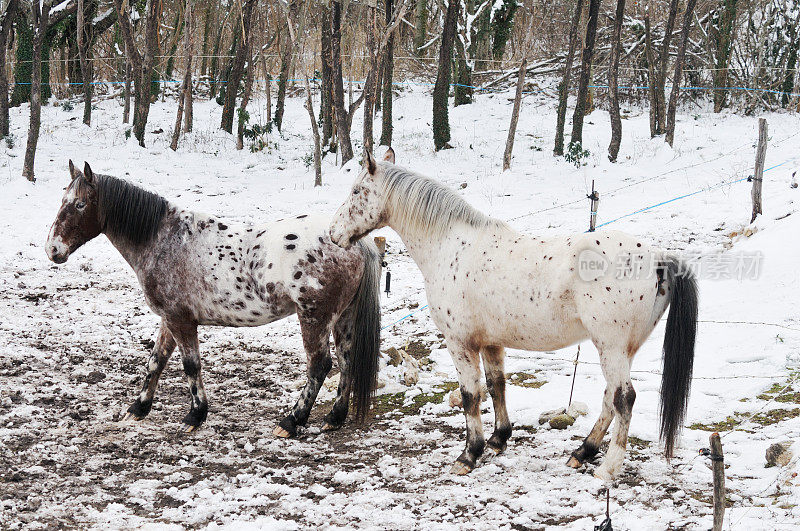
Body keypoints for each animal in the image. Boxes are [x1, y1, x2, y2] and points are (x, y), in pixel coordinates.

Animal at [48, 161, 382, 436]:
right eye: (62, 201)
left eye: (79, 204)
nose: (53, 249)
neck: (164, 239)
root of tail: (354, 243)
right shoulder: (170, 319)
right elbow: (156, 361)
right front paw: (138, 409)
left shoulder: (181, 321)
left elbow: (190, 365)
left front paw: (195, 416)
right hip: (343, 317)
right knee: (346, 361)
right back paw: (335, 418)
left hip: (314, 317)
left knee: (320, 364)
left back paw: (292, 420)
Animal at [328, 150, 696, 482]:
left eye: (357, 191)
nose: (333, 234)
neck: (451, 245)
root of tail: (657, 257)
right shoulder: (491, 343)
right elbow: (496, 386)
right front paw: (498, 439)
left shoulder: (460, 342)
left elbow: (470, 396)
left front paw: (469, 455)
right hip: (623, 349)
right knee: (610, 398)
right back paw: (582, 452)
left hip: (612, 347)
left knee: (624, 398)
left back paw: (608, 467)